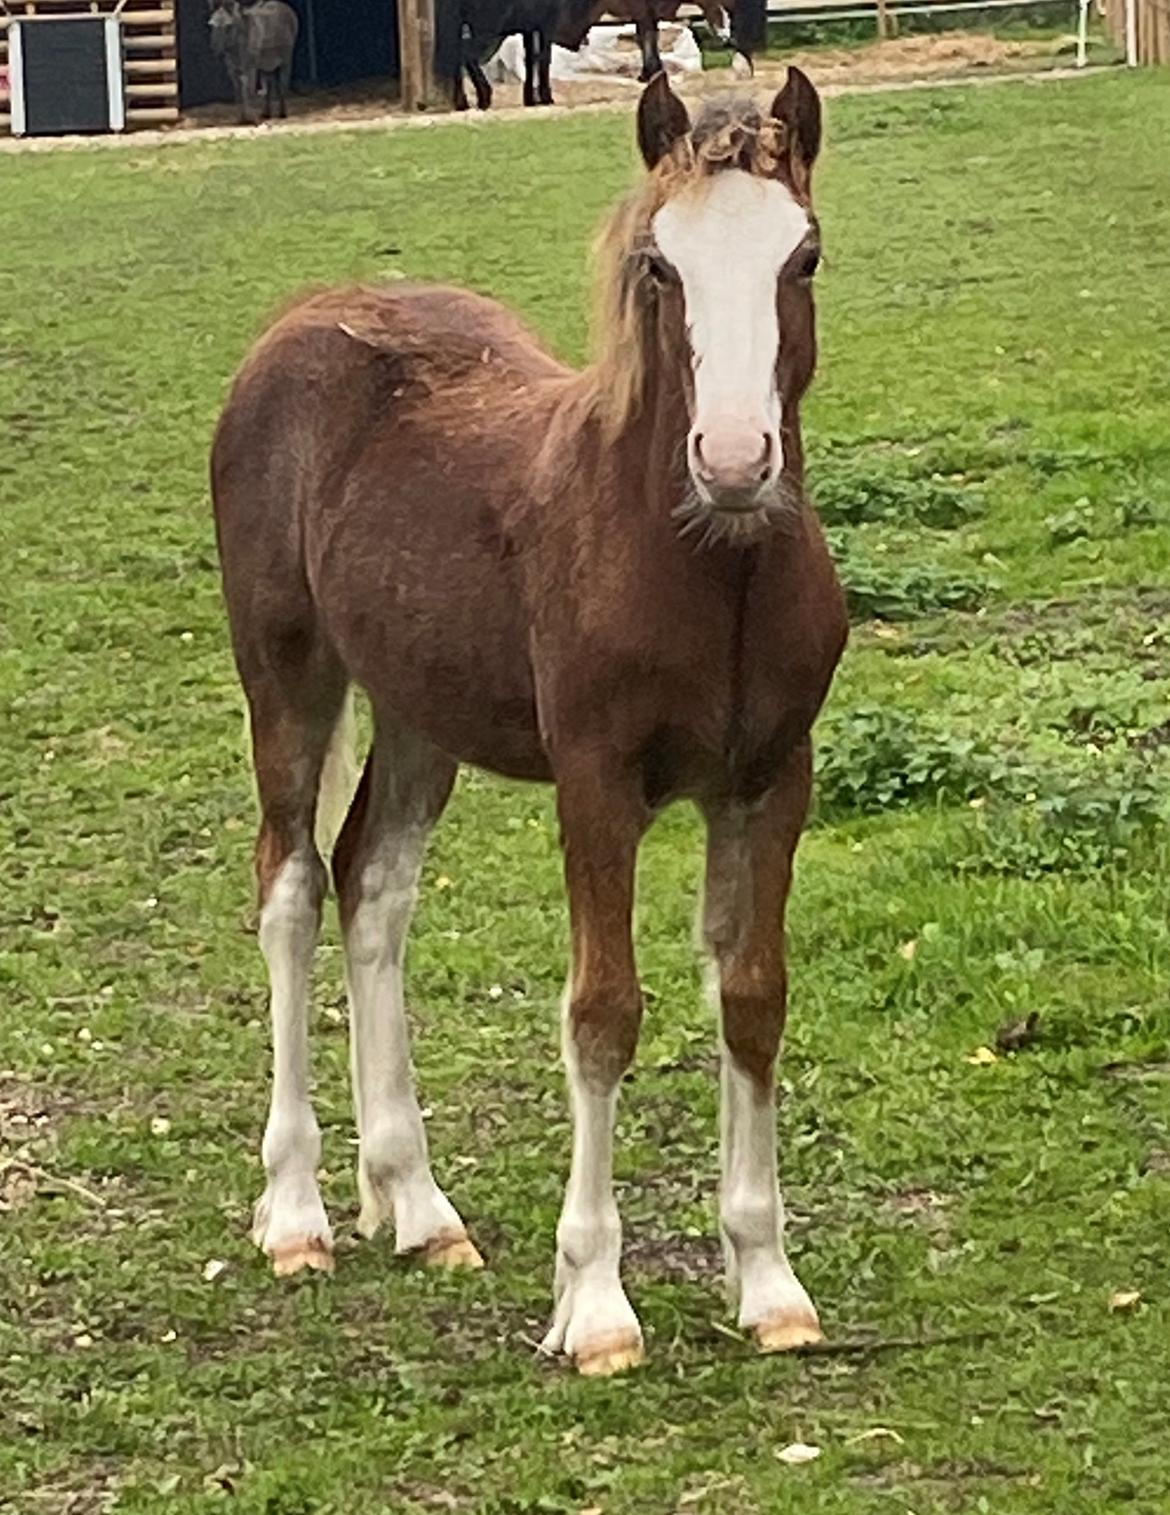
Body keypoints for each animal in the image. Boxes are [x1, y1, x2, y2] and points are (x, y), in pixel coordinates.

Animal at [212, 68, 842, 1375]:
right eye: (659, 265)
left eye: (802, 254)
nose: (735, 459)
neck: (712, 565)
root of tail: (299, 323)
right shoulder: (597, 781)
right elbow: (603, 1014)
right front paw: (596, 1305)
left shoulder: (771, 779)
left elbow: (753, 1000)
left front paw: (768, 1285)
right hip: (289, 677)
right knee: (292, 887)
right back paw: (296, 1214)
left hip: (418, 709)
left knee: (374, 887)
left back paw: (418, 1207)